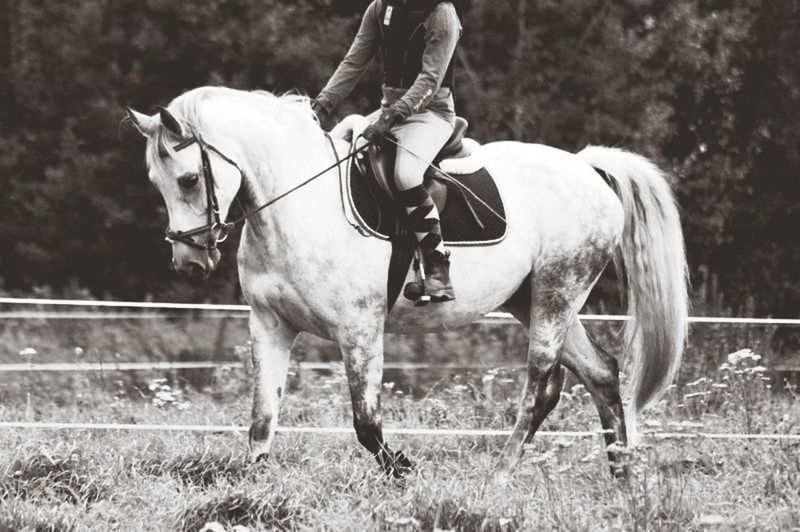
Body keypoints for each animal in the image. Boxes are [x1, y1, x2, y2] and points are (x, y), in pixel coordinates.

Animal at [126, 87, 688, 482]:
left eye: (188, 180)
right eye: (155, 182)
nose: (189, 262)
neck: (296, 206)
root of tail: (585, 166)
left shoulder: (359, 328)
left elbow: (366, 422)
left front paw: (402, 470)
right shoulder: (270, 325)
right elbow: (262, 418)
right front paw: (252, 489)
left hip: (557, 292)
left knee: (541, 386)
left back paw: (500, 477)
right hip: (531, 301)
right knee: (602, 373)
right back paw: (622, 475)